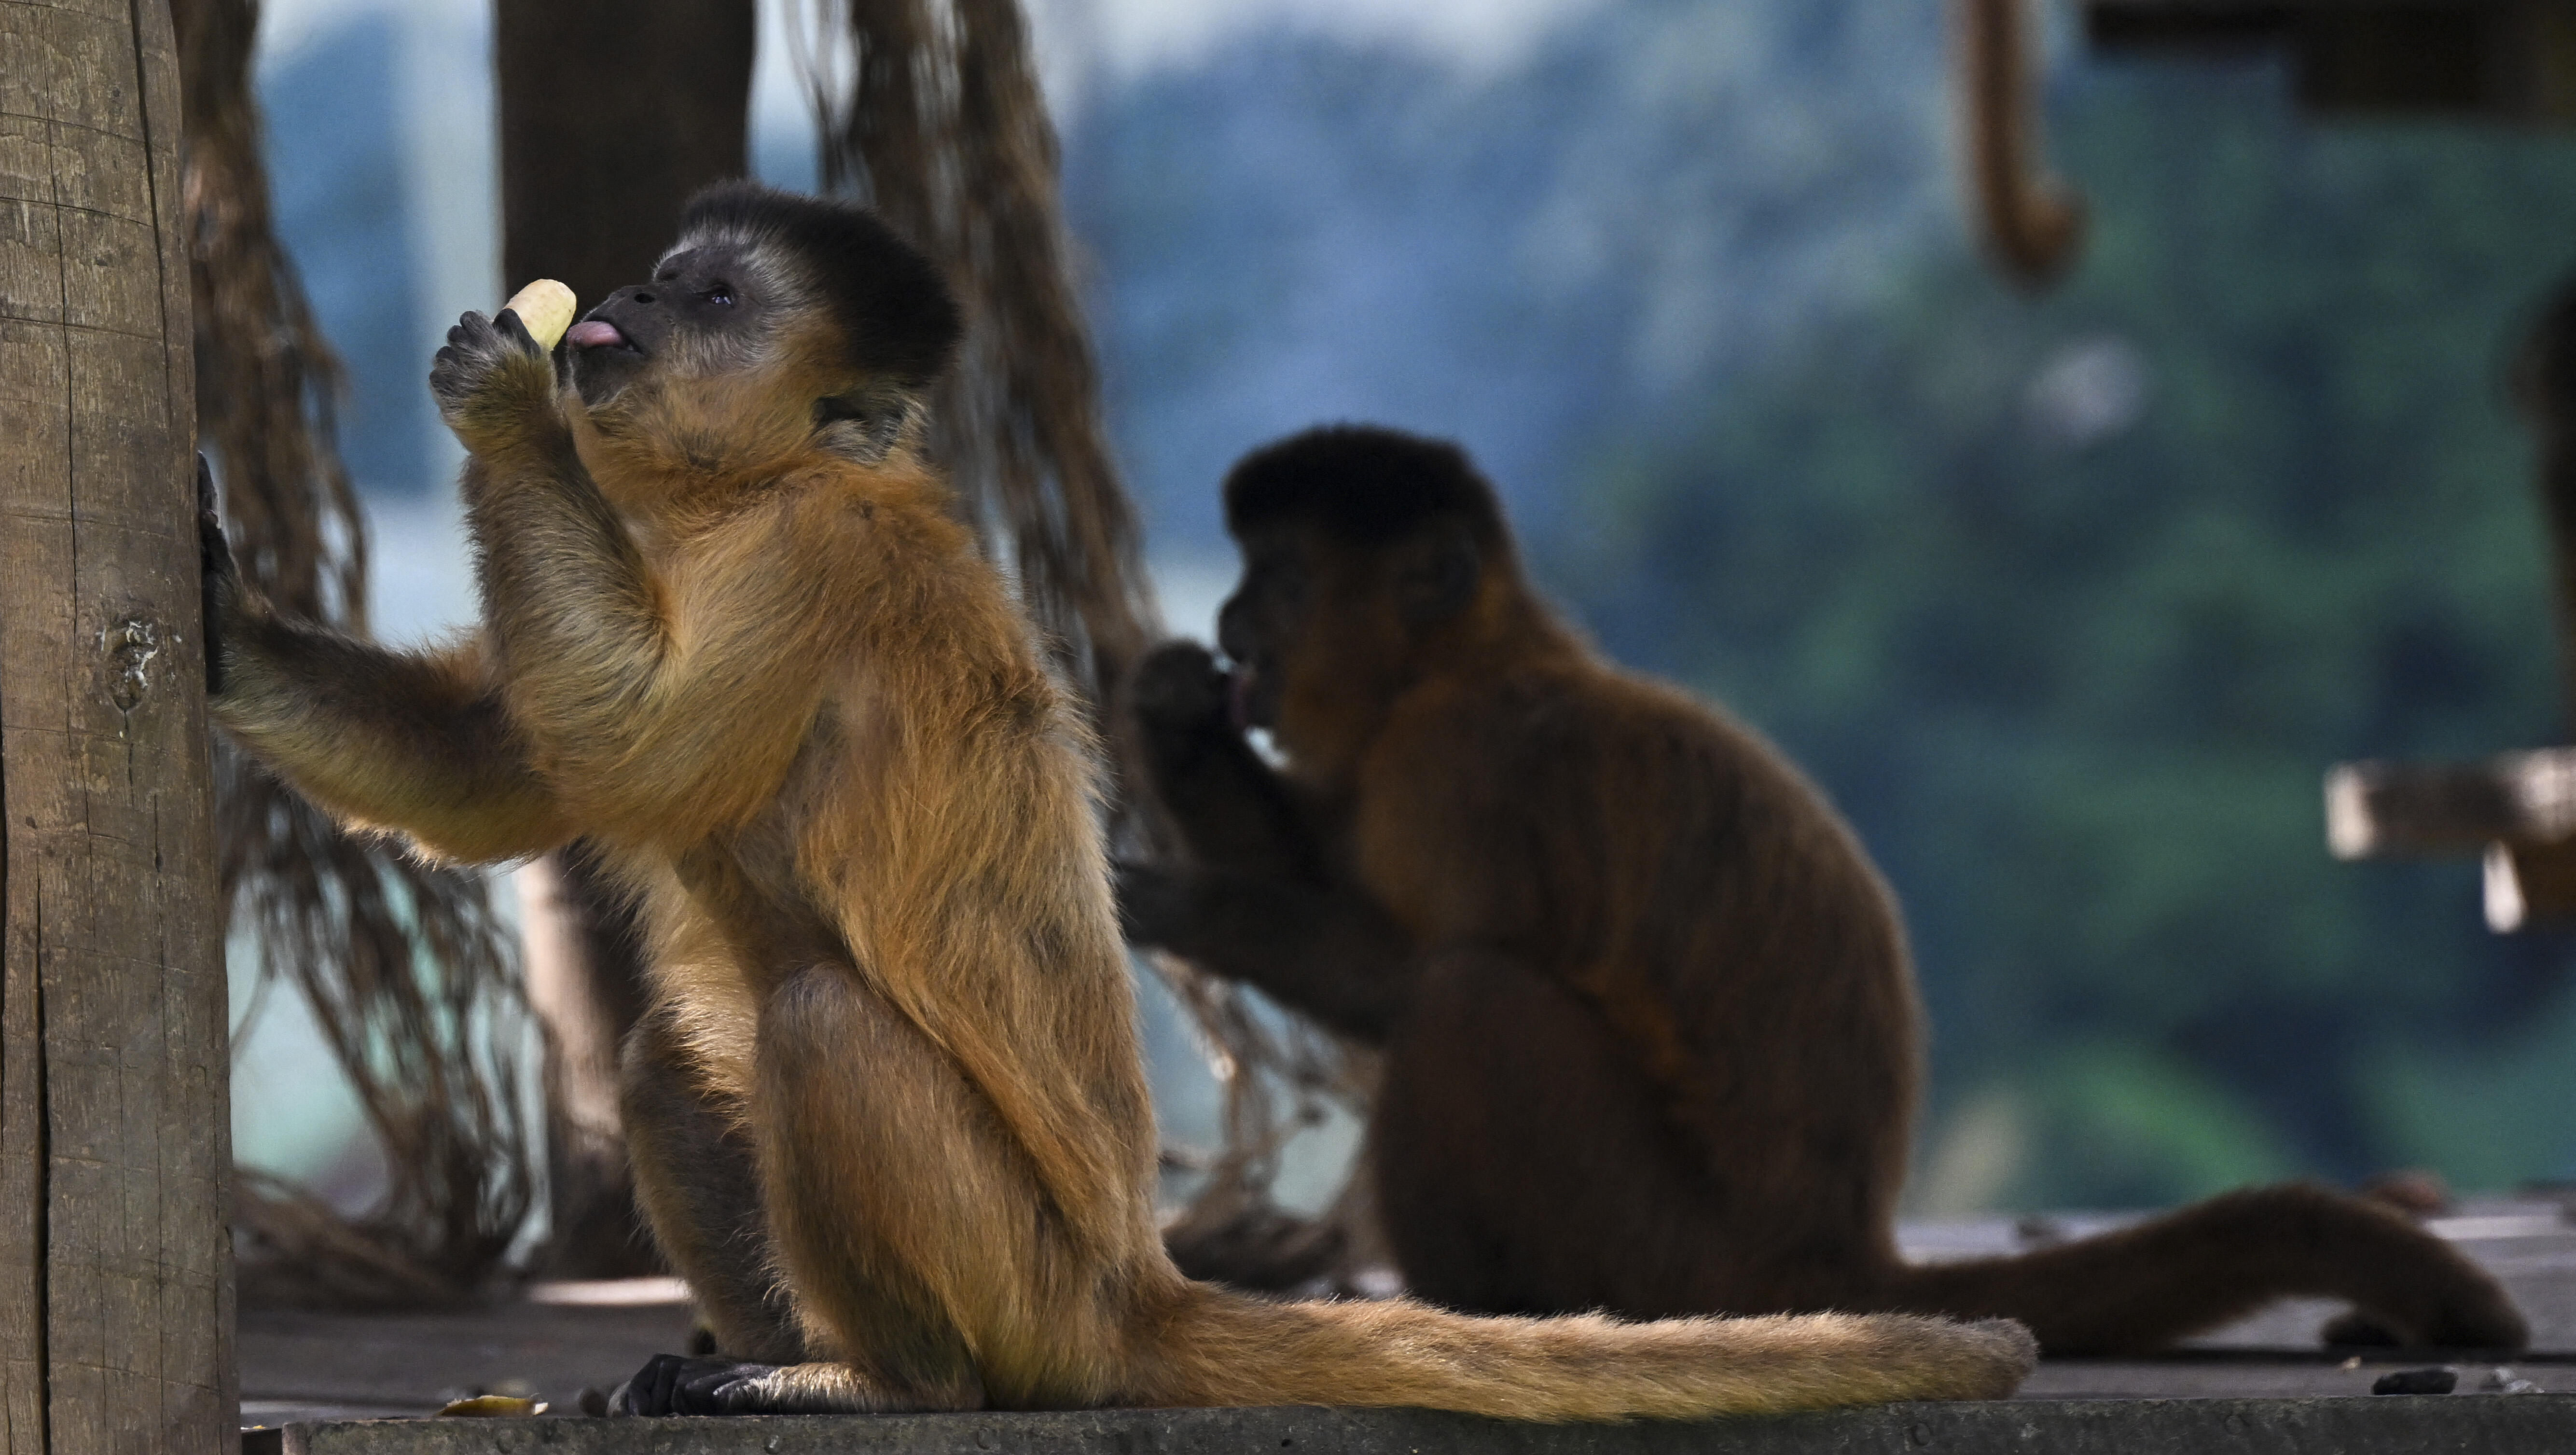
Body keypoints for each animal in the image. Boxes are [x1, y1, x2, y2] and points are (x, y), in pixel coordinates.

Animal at [197, 183, 2037, 1418]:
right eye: (657, 275)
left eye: (703, 297)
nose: (622, 307)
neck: (740, 495)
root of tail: (1129, 1291)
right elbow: (497, 775)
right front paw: (216, 623)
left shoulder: (813, 563)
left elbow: (626, 749)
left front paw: (509, 412)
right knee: (672, 1054)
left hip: (1022, 1290)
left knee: (812, 1026)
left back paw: (890, 1385)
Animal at [1117, 424, 2531, 1357]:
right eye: (1242, 578)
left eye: (1279, 580)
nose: (1233, 624)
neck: (1463, 659)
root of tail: (1828, 1251)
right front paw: (1175, 718)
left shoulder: (1456, 763)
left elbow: (1402, 965)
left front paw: (1181, 906)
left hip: (1665, 1240)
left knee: (1468, 997)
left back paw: (1497, 1307)